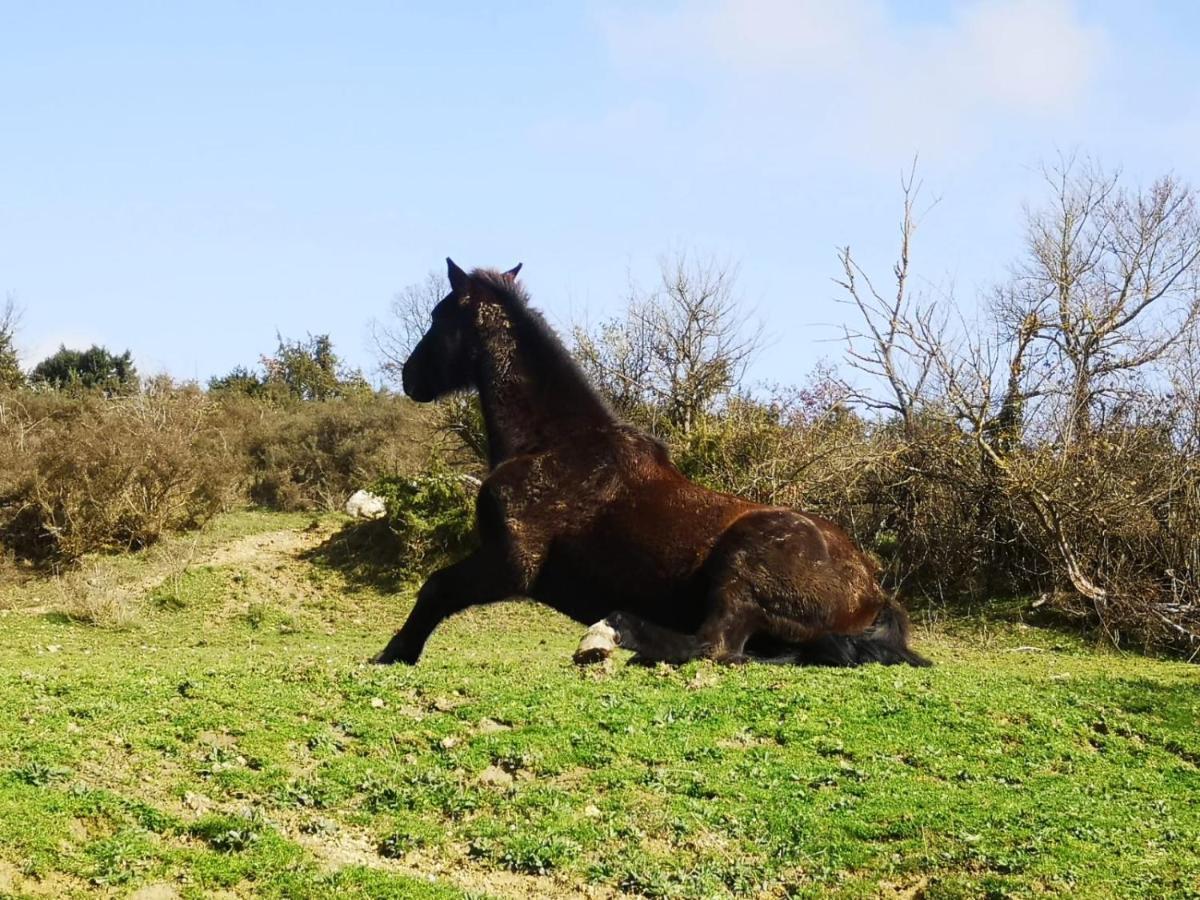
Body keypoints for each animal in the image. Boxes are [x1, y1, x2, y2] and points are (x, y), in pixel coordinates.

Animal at [374, 260, 926, 672]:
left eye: (438, 316)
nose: (409, 377)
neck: (552, 446)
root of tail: (873, 591)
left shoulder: (510, 566)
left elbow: (436, 588)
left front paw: (393, 653)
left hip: (739, 571)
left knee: (714, 645)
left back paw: (608, 633)